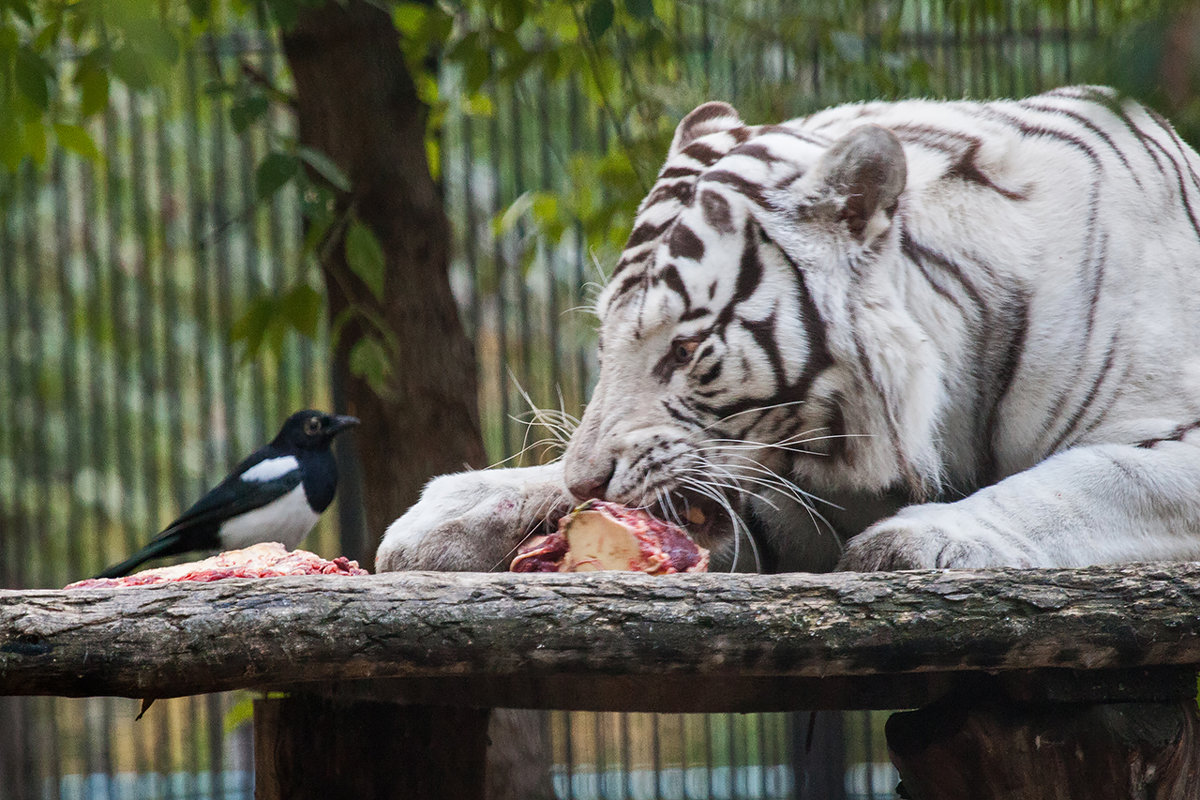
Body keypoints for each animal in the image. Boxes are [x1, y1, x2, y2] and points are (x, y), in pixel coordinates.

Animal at [379, 87, 1200, 573]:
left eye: (684, 349)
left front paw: (919, 539)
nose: (587, 482)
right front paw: (451, 514)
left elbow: (1091, 480)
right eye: (608, 343)